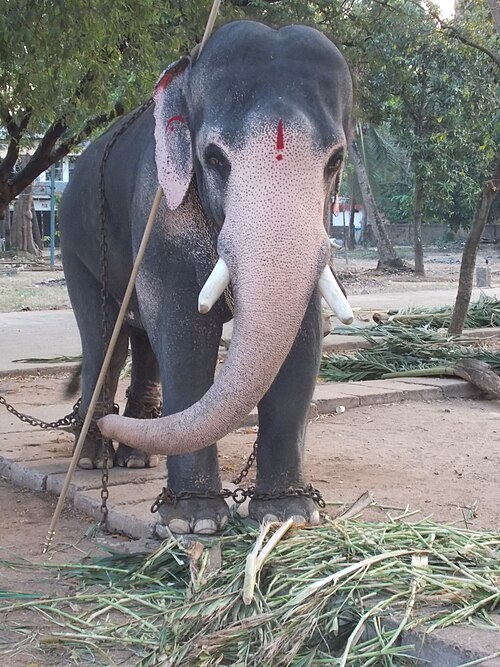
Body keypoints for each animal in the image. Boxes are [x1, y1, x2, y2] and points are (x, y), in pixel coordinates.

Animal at [60, 19, 353, 535]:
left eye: (335, 160)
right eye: (215, 159)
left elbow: (304, 337)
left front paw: (289, 514)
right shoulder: (159, 205)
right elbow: (184, 330)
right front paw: (193, 522)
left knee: (141, 338)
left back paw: (135, 457)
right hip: (75, 245)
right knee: (103, 339)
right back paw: (95, 456)